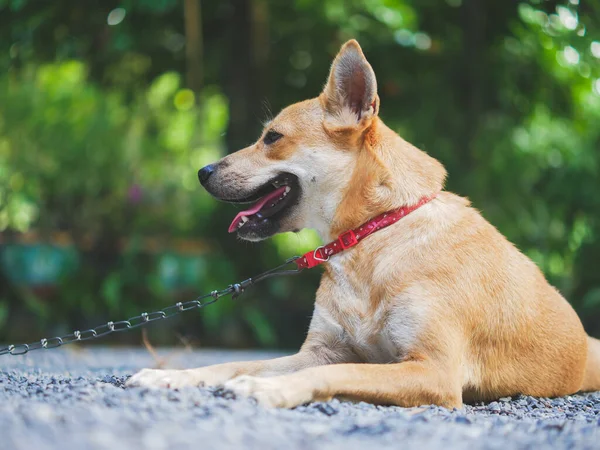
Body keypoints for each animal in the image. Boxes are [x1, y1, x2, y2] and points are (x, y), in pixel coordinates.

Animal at [126, 40, 600, 410]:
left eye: (272, 138)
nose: (202, 172)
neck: (373, 235)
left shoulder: (433, 371)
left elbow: (338, 373)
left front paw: (269, 389)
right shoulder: (319, 351)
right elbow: (233, 362)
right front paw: (171, 376)